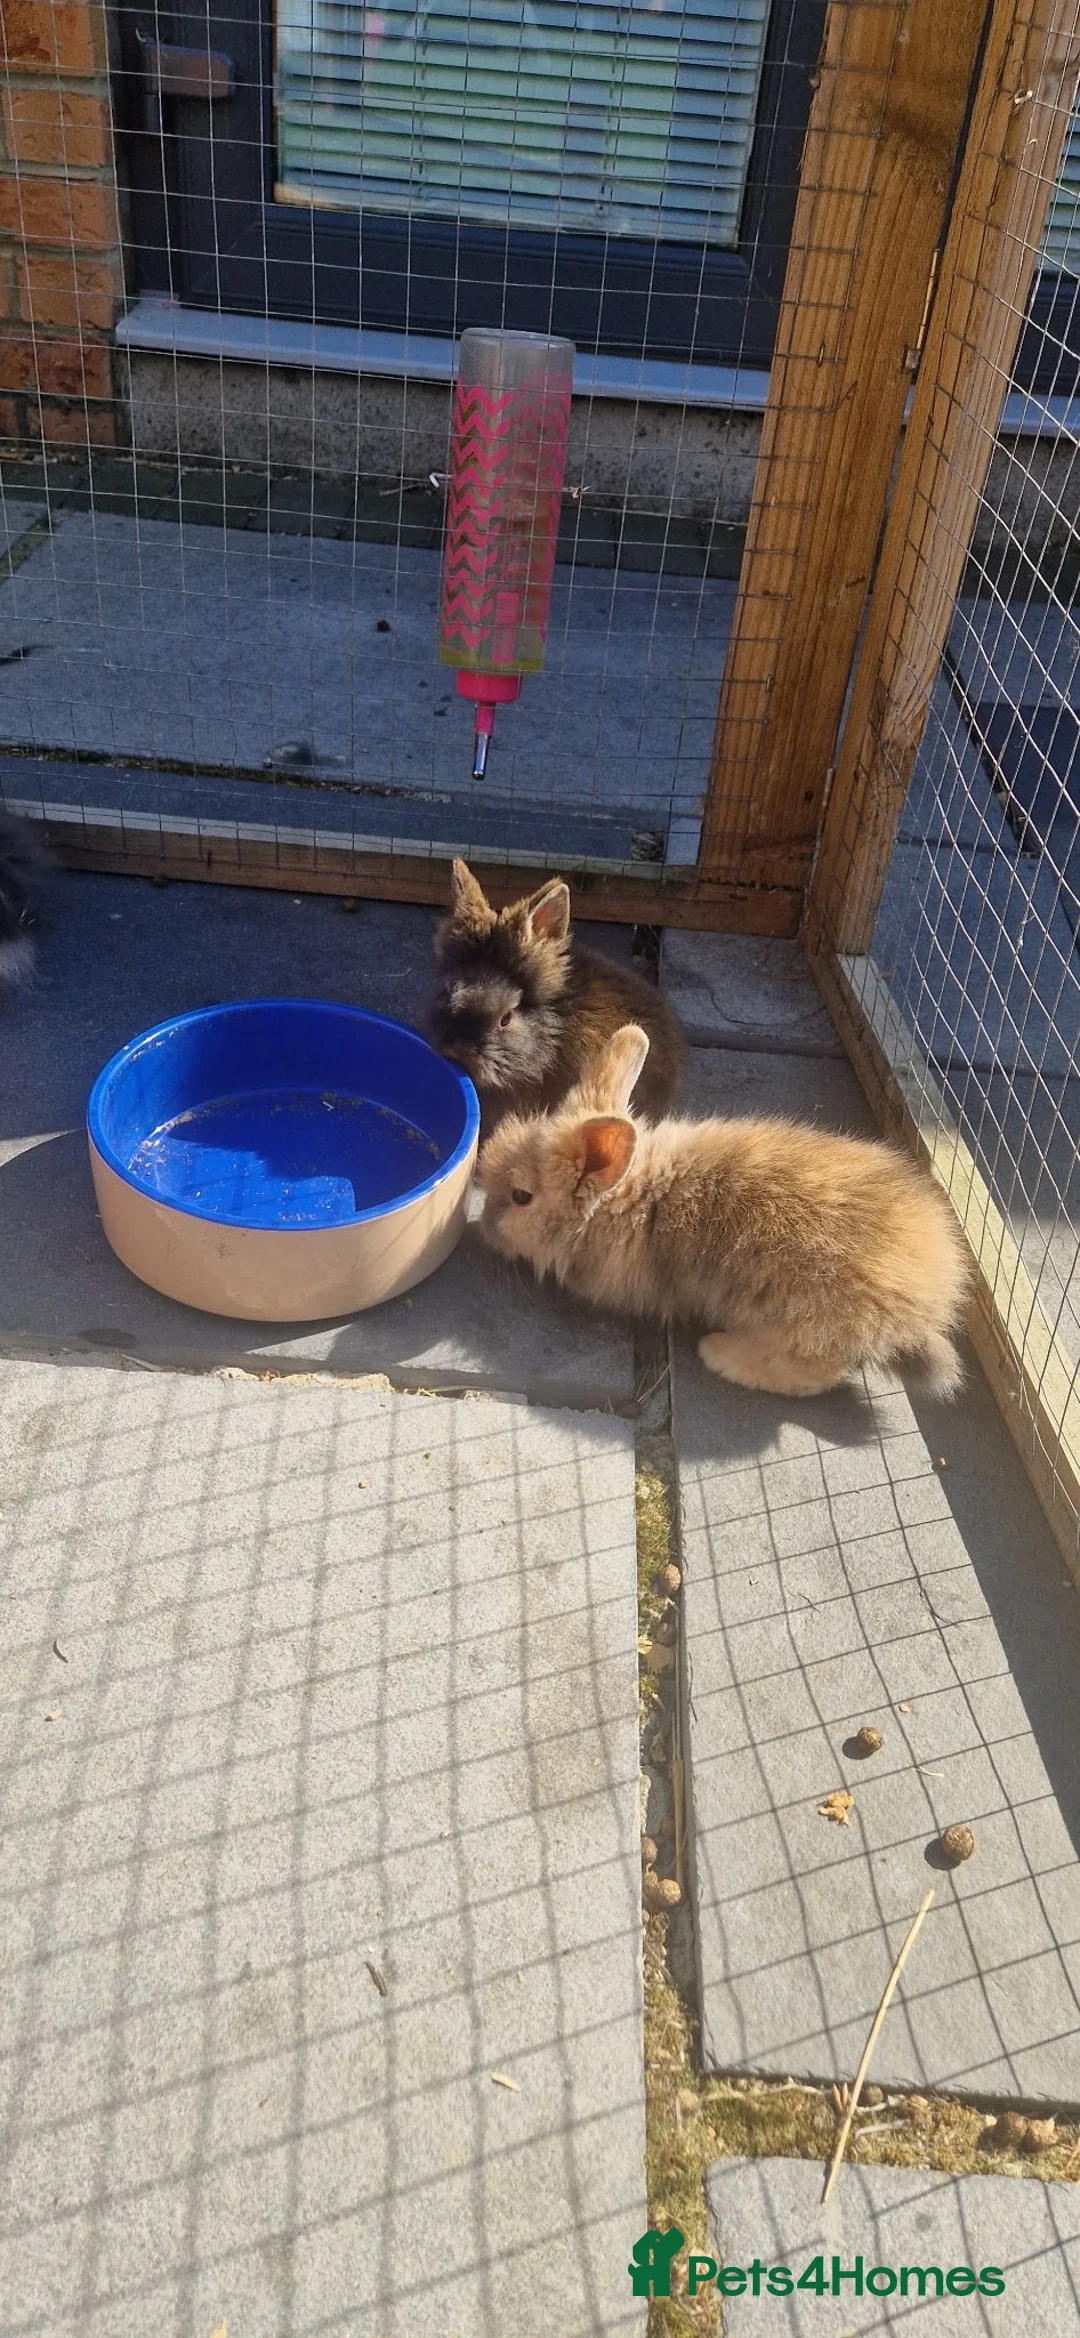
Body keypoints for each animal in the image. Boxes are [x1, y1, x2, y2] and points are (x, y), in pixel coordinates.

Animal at [478, 1024, 971, 1399]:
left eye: (520, 1196)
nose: (483, 1227)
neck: (630, 1198)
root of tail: (923, 1311)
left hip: (805, 1329)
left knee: (817, 1375)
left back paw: (719, 1354)